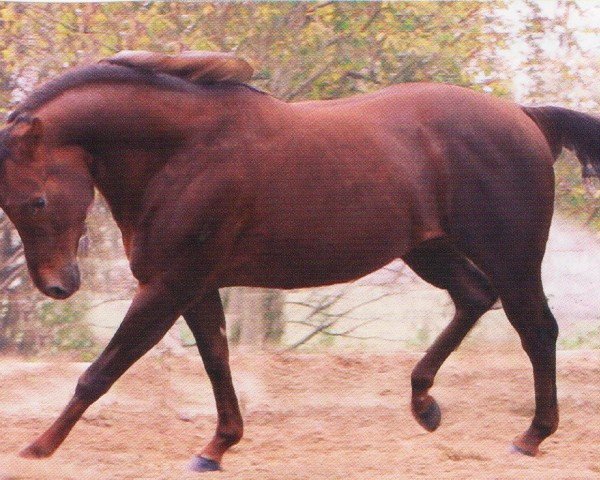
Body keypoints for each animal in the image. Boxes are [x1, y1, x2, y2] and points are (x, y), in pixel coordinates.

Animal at [1, 50, 600, 470]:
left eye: (36, 201)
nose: (57, 285)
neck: (181, 151)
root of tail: (523, 116)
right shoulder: (196, 285)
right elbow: (216, 358)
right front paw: (216, 448)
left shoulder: (169, 285)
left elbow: (101, 371)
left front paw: (37, 449)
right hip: (429, 250)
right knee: (475, 298)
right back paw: (424, 403)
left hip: (512, 256)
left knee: (537, 329)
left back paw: (530, 437)